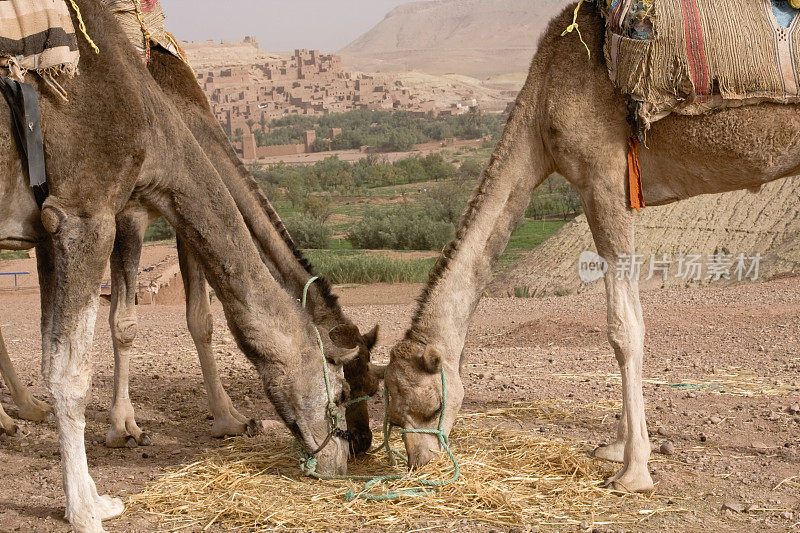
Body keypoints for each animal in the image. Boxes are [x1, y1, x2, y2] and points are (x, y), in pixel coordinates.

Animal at [0, 3, 360, 528]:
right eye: (343, 393)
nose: (347, 455)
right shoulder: (94, 213)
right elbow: (91, 352)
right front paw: (94, 491)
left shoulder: (61, 225)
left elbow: (198, 318)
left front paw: (227, 419)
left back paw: (21, 410)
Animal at [380, 3, 800, 494]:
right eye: (393, 417)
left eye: (430, 408)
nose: (420, 464)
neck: (543, 100)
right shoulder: (620, 187)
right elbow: (630, 317)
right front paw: (617, 445)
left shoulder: (602, 177)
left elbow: (623, 329)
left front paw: (633, 471)